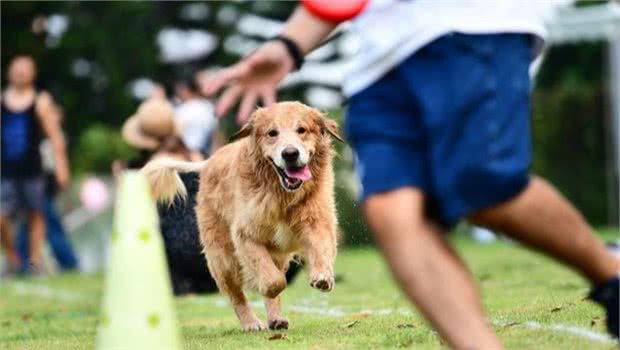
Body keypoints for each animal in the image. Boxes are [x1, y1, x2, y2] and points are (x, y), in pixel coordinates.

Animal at [142, 101, 342, 330]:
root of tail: (209, 161)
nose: (290, 153)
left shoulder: (317, 222)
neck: (281, 195)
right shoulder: (245, 236)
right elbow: (273, 281)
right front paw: (264, 287)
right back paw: (251, 322)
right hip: (222, 258)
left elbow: (321, 249)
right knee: (236, 295)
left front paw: (323, 276)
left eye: (302, 130)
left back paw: (275, 319)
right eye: (272, 133)